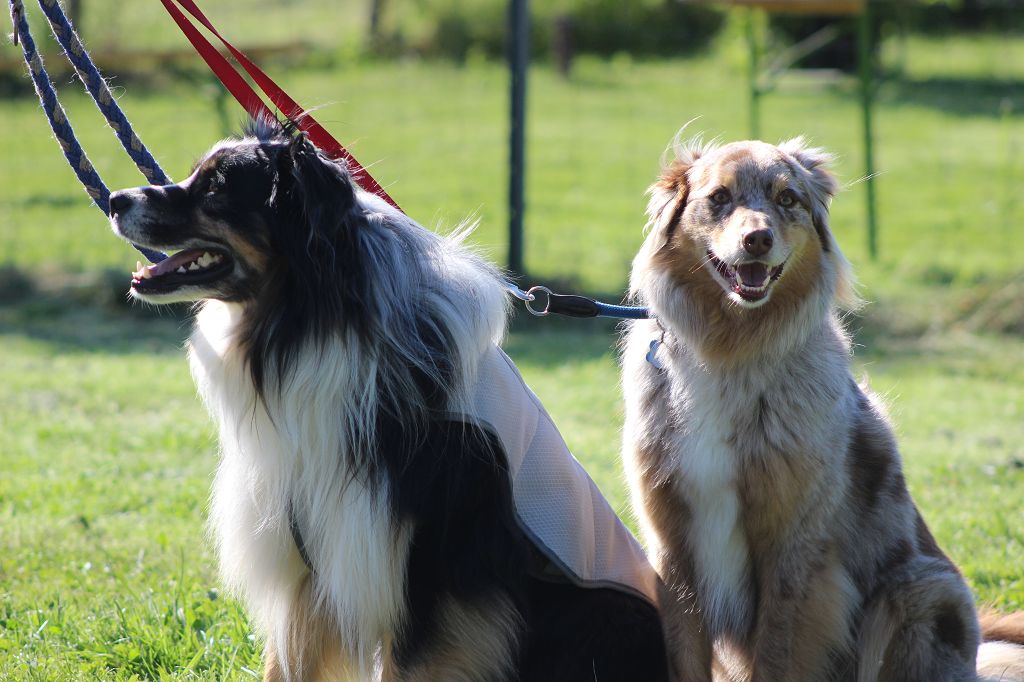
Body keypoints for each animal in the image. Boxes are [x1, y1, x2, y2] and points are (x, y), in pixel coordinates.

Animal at [107, 120, 669, 681]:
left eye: (217, 187)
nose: (114, 199)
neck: (312, 316)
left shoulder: (424, 575)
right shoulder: (312, 554)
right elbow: (284, 663)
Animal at [621, 136, 1024, 681]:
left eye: (787, 198)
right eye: (719, 197)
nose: (757, 239)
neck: (731, 352)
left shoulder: (793, 548)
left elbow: (776, 652)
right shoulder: (673, 543)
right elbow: (684, 656)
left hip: (917, 592)